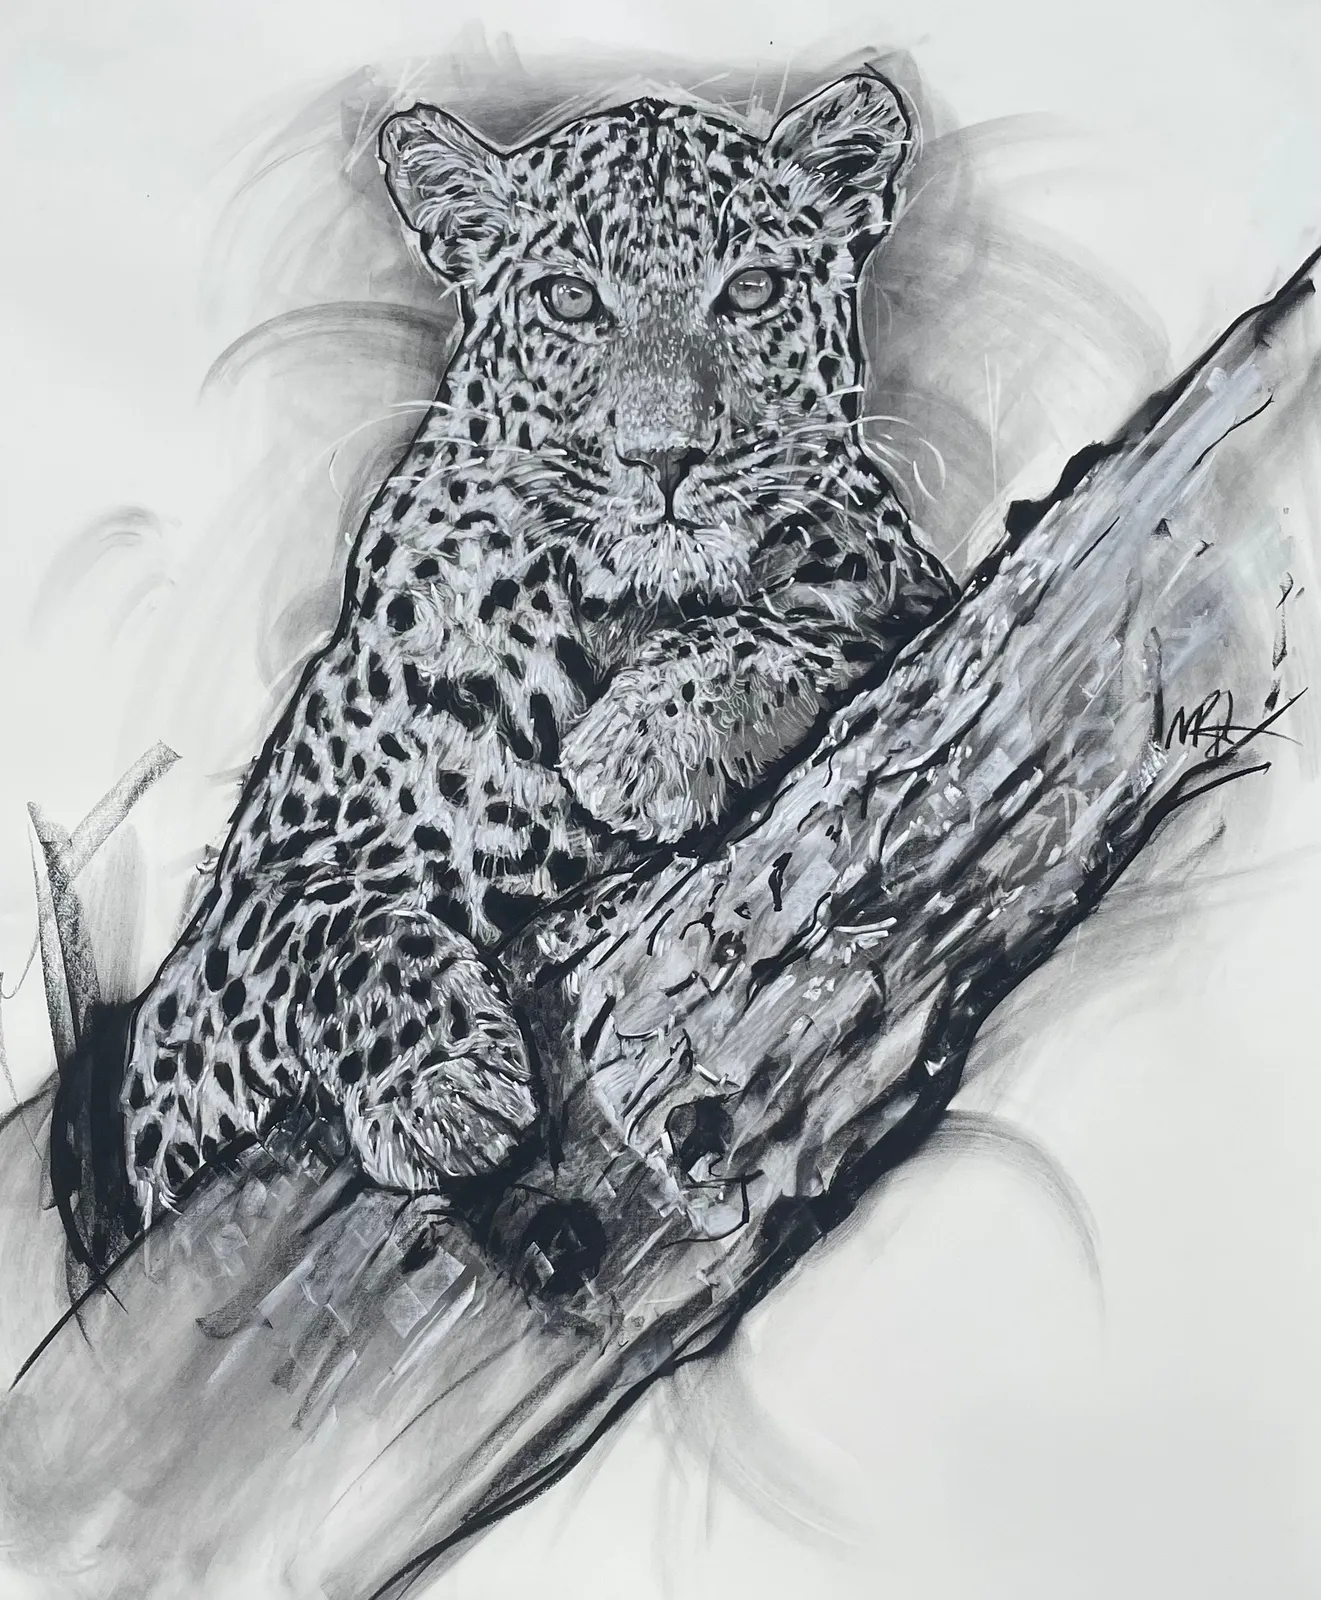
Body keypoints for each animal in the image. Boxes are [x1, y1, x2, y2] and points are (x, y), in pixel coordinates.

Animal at [118, 70, 958, 1224]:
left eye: (749, 291)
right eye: (568, 301)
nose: (663, 457)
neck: (616, 611)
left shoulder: (906, 581)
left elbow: (834, 608)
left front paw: (645, 742)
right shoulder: (187, 1012)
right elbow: (320, 921)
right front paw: (441, 1084)